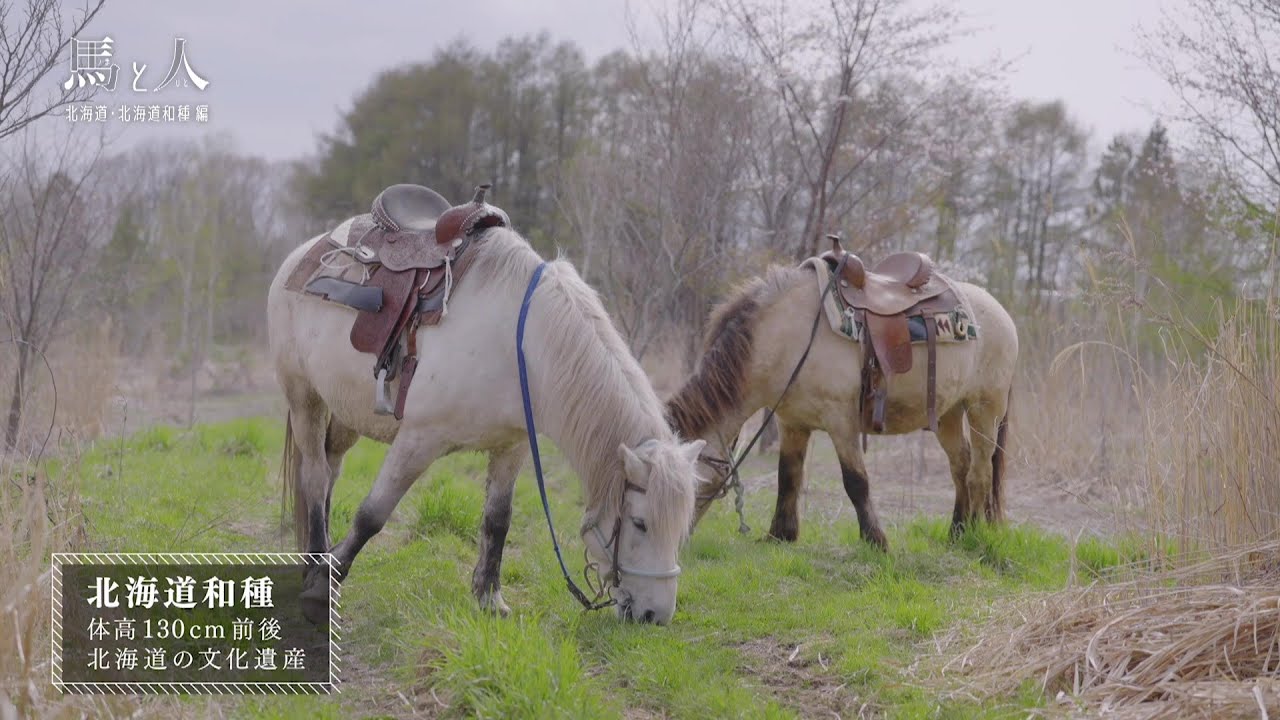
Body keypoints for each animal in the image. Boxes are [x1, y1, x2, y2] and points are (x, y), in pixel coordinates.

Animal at [267, 226, 705, 625]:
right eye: (640, 523)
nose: (655, 615)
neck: (520, 344)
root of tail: (299, 256)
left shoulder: (513, 447)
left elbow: (498, 521)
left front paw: (489, 598)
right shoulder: (418, 439)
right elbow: (372, 515)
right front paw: (321, 594)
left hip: (344, 414)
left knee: (329, 470)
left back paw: (316, 558)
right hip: (305, 398)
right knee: (315, 477)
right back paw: (315, 565)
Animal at [666, 262, 1017, 548]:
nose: (676, 541)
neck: (789, 337)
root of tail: (1001, 311)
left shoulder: (841, 421)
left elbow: (856, 482)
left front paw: (876, 540)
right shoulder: (792, 423)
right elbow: (788, 476)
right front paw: (780, 534)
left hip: (985, 410)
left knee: (980, 473)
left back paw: (972, 535)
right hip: (948, 414)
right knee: (961, 464)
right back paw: (957, 531)